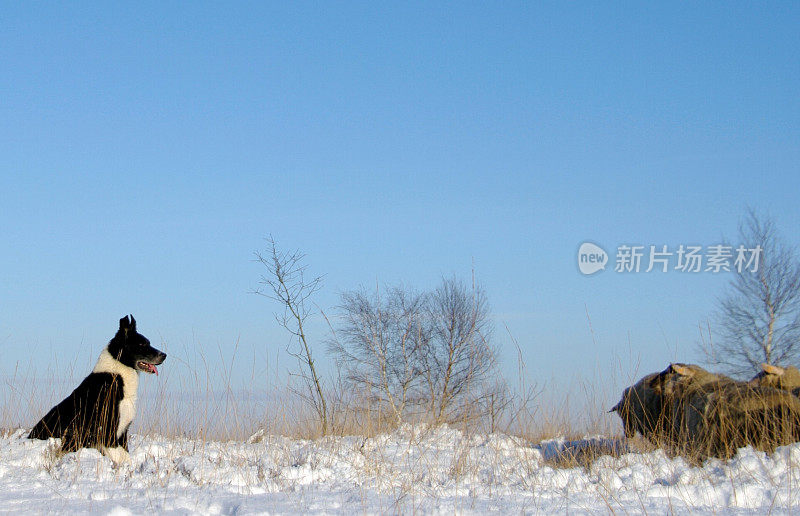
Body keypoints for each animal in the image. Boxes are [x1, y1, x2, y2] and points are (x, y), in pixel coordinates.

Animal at [28, 314, 166, 464]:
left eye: (148, 343)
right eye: (142, 344)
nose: (164, 355)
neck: (116, 374)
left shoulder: (122, 433)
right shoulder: (108, 434)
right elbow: (124, 458)